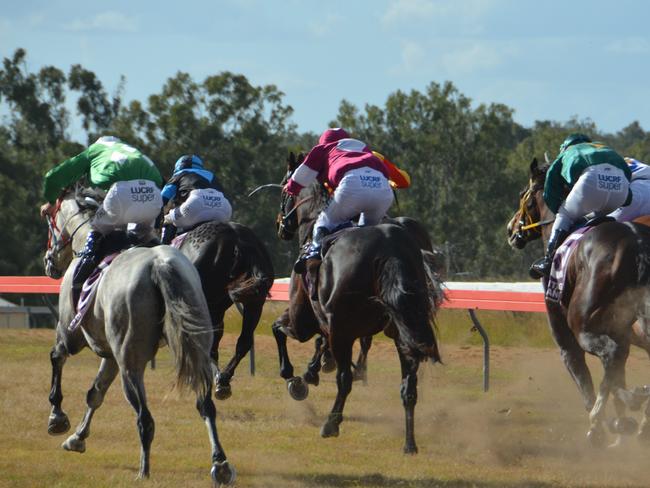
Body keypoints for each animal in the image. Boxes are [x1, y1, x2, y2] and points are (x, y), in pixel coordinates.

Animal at [43, 188, 235, 484]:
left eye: (51, 227)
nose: (48, 262)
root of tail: (159, 265)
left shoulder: (70, 336)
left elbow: (57, 358)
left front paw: (58, 418)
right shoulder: (110, 356)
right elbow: (95, 393)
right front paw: (77, 437)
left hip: (130, 365)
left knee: (145, 418)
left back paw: (144, 471)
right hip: (195, 350)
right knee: (205, 405)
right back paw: (220, 463)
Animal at [268, 153, 440, 454]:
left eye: (283, 190)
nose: (281, 226)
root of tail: (389, 247)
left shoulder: (304, 320)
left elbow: (278, 329)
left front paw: (296, 380)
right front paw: (311, 372)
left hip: (344, 329)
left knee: (345, 380)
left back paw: (331, 423)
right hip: (402, 330)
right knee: (408, 387)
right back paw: (409, 443)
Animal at [504, 157, 648, 446]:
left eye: (524, 194)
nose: (511, 229)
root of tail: (637, 245)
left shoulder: (566, 338)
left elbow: (585, 378)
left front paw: (606, 426)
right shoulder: (622, 332)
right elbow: (617, 373)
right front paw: (622, 422)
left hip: (582, 325)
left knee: (610, 356)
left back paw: (604, 419)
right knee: (615, 361)